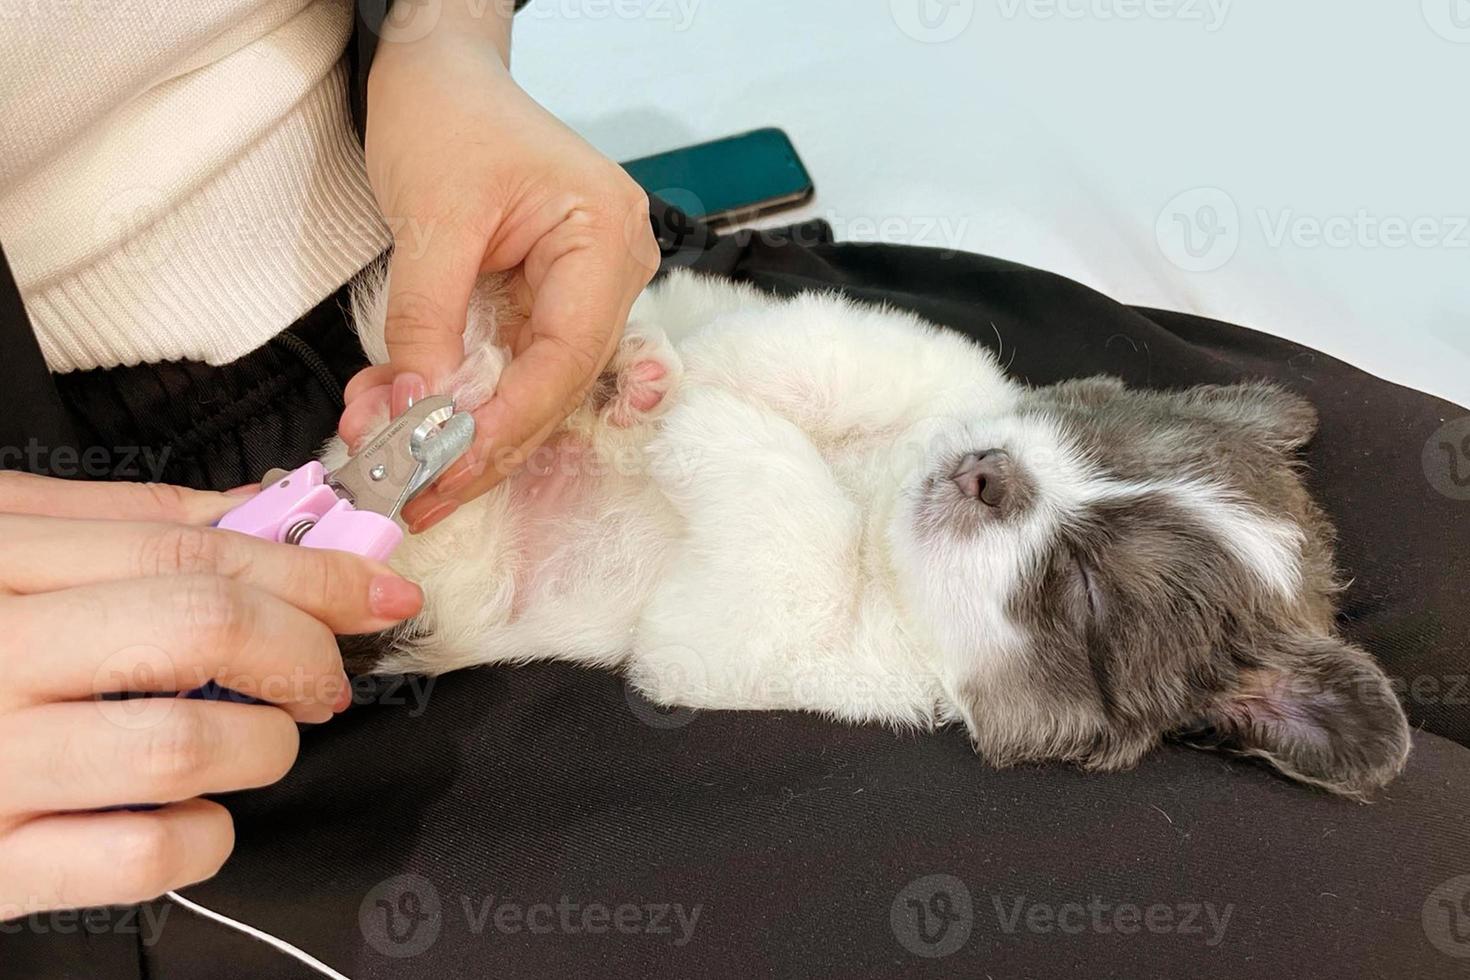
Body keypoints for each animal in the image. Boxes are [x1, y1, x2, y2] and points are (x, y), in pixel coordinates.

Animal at [327, 265, 1405, 799]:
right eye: (1081, 432)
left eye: (1083, 593)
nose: (990, 472)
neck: (879, 501)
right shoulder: (917, 368)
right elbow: (823, 357)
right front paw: (662, 370)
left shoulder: (758, 636)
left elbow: (788, 507)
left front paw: (668, 407)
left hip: (447, 569)